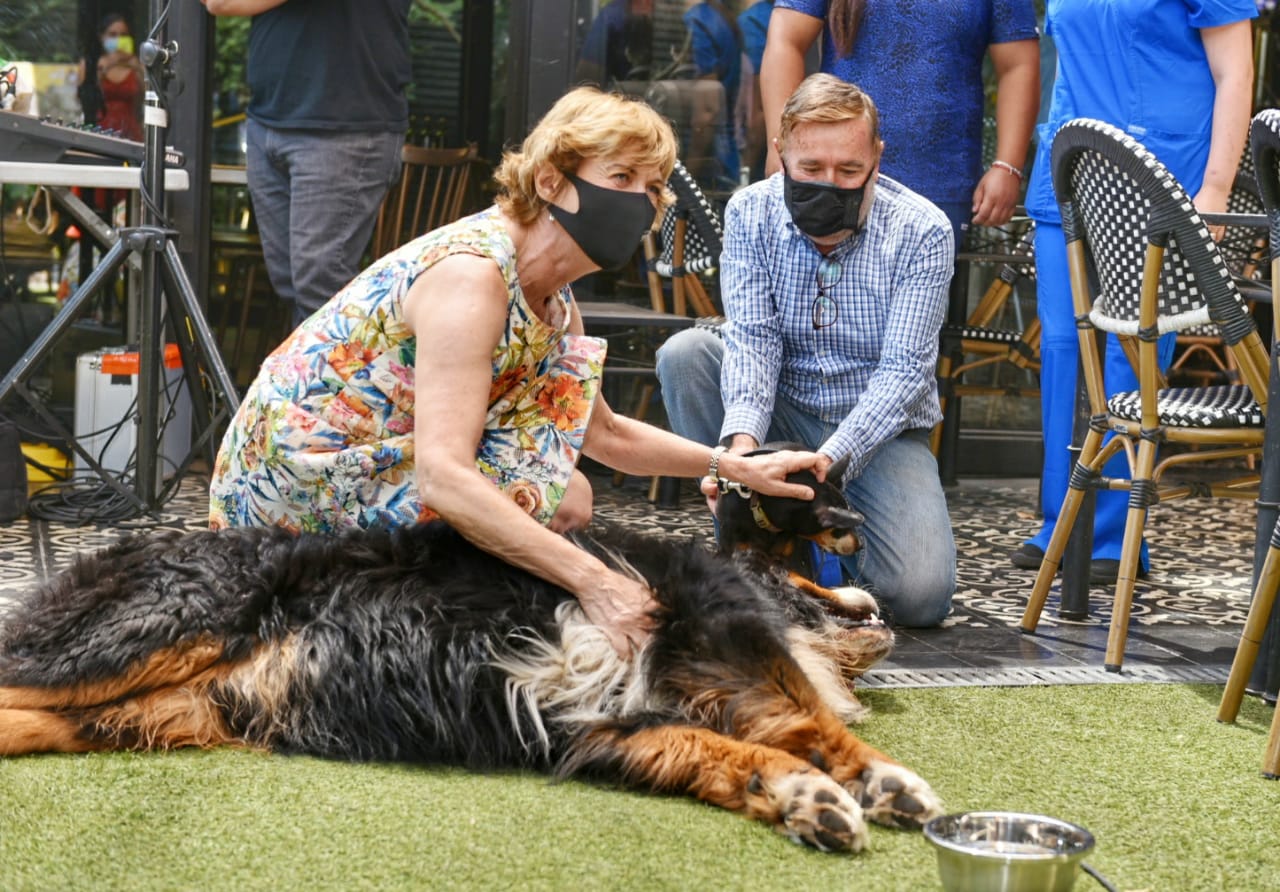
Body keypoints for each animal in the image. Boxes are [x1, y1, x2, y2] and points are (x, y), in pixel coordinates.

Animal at [0, 455, 942, 854]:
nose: (860, 547)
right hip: (156, 630)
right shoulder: (713, 618)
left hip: (147, 712)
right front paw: (881, 782)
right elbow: (806, 711)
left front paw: (801, 798)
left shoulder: (607, 729)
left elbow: (734, 751)